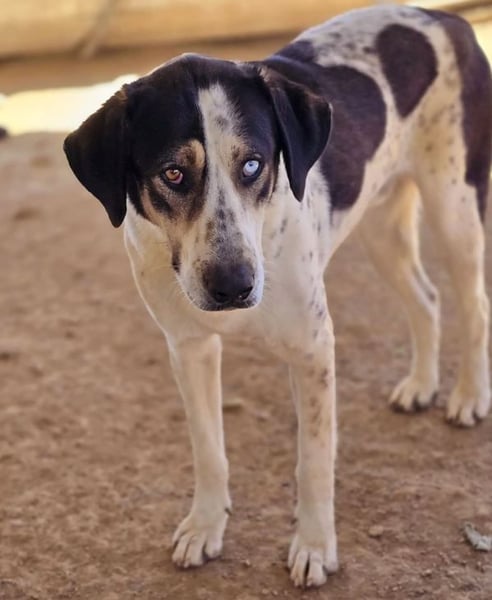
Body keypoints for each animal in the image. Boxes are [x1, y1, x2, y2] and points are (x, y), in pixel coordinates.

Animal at [63, 4, 492, 588]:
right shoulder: (189, 348)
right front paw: (206, 525)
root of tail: (444, 19)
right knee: (426, 298)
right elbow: (208, 449)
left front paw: (314, 547)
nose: (233, 286)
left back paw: (469, 395)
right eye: (172, 173)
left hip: (456, 206)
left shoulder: (312, 351)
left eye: (253, 164)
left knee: (474, 305)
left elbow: (313, 461)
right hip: (382, 227)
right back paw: (422, 385)